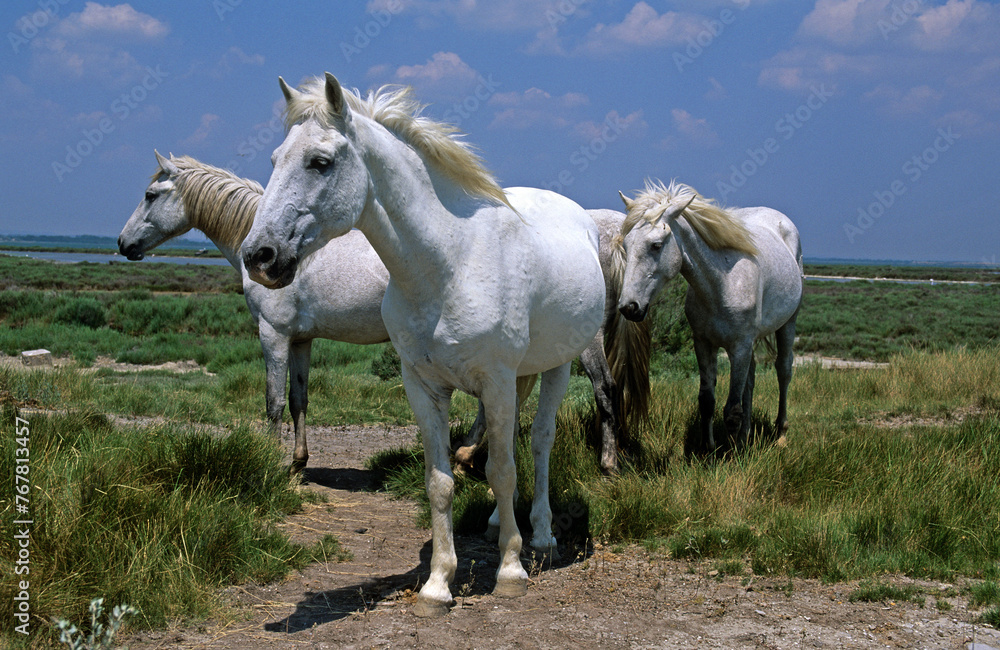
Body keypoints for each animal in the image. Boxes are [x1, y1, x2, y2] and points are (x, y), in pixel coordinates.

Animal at [117, 153, 648, 474]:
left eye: (149, 196)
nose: (123, 244)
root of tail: (598, 231)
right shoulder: (303, 339)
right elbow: (299, 399)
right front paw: (299, 463)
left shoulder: (274, 334)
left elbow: (271, 402)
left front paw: (270, 464)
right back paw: (468, 454)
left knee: (603, 388)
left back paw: (606, 463)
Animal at [240, 72, 614, 616]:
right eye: (274, 159)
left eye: (320, 162)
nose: (259, 256)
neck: (449, 264)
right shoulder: (423, 385)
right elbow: (441, 483)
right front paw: (438, 585)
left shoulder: (495, 381)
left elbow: (504, 469)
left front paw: (511, 570)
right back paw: (500, 525)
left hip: (556, 366)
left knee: (540, 443)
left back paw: (541, 536)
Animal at [615, 180, 803, 452]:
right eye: (626, 245)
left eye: (656, 245)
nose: (629, 307)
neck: (722, 283)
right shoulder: (704, 343)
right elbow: (707, 399)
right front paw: (708, 449)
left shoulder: (739, 346)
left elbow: (732, 408)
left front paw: (733, 456)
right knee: (750, 380)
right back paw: (746, 435)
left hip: (787, 324)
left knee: (783, 371)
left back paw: (781, 434)